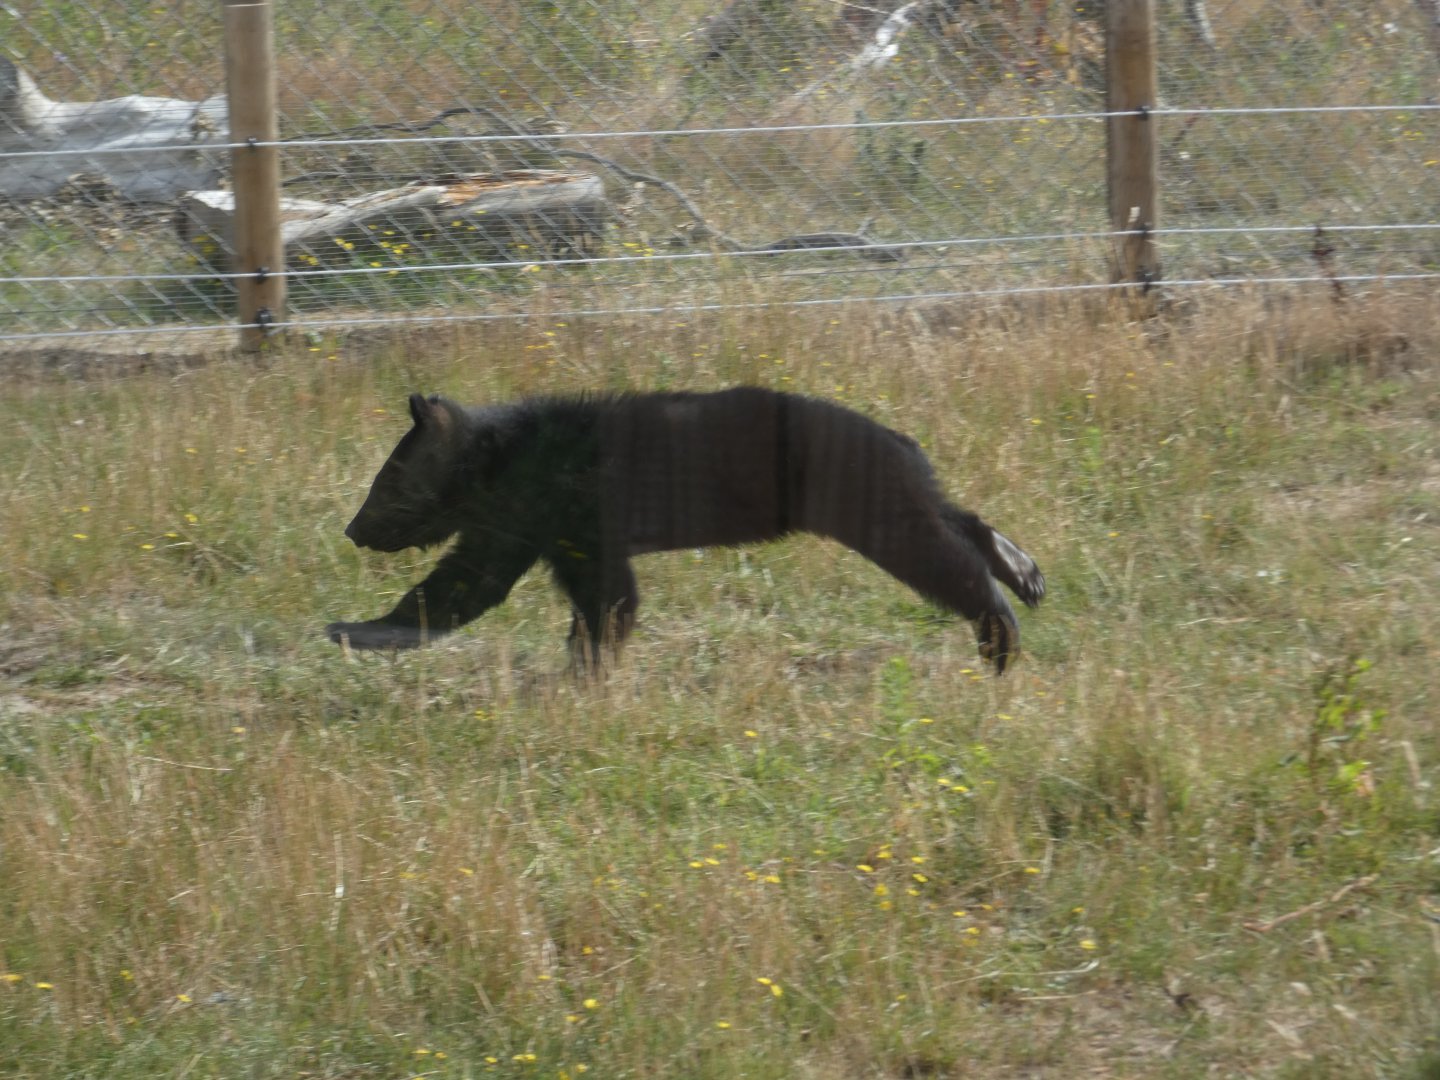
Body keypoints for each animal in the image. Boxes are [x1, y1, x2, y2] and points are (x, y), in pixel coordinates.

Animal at [327, 387, 1045, 673]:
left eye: (387, 483)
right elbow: (468, 583)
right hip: (894, 484)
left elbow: (606, 595)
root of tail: (901, 440)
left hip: (863, 495)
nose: (354, 528)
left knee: (932, 550)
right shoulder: (535, 524)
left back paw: (999, 631)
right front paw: (361, 628)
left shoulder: (574, 508)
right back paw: (1022, 570)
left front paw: (587, 669)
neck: (507, 459)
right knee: (952, 517)